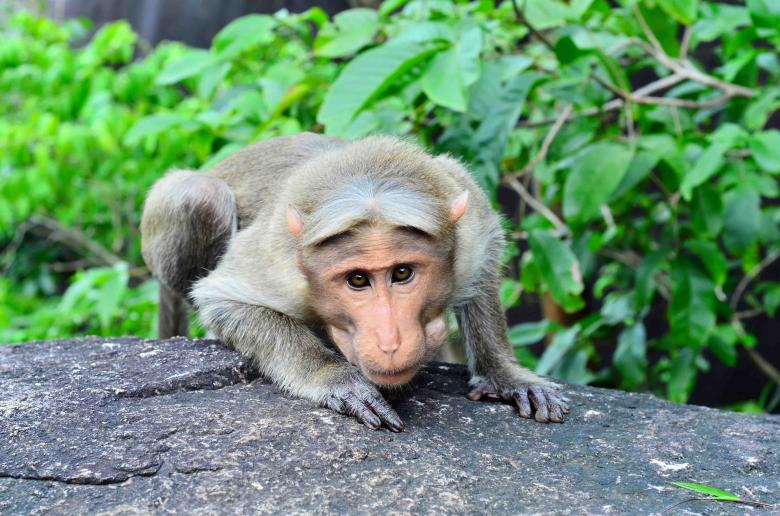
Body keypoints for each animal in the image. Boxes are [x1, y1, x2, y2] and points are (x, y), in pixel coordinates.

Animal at [140, 133, 569, 431]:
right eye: (357, 280)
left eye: (402, 273)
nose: (390, 341)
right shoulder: (277, 261)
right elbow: (222, 299)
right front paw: (335, 378)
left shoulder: (472, 219)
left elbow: (483, 270)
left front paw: (505, 374)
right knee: (201, 194)